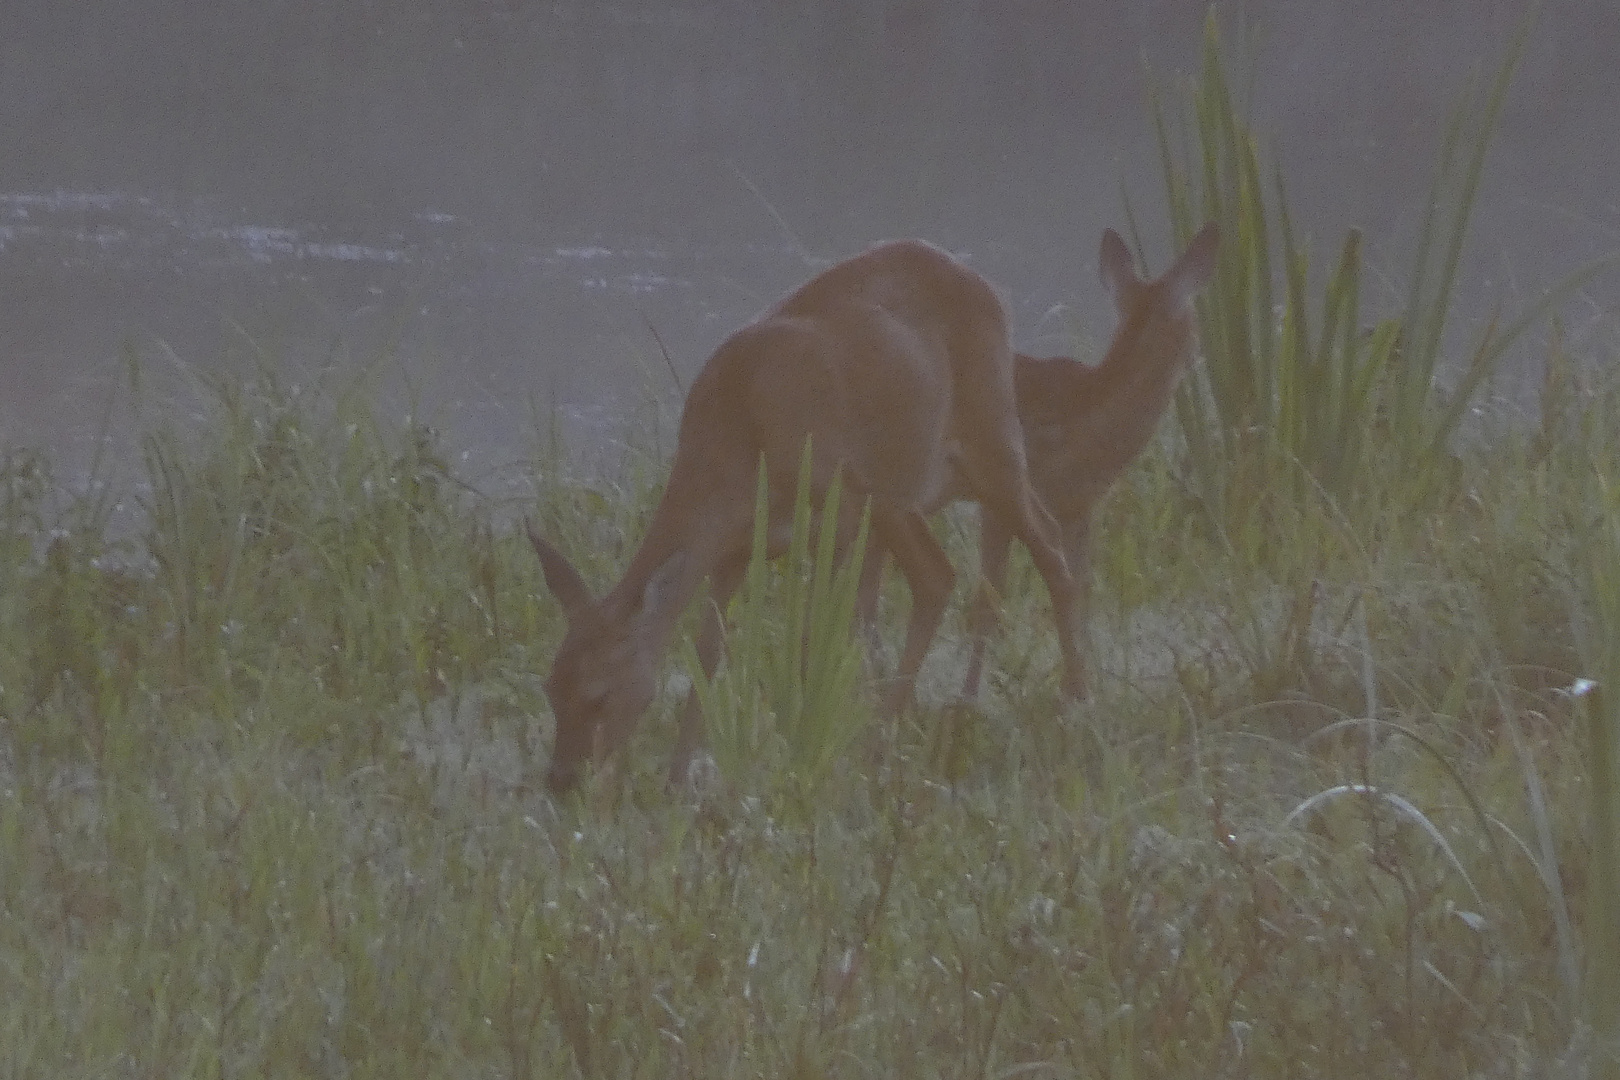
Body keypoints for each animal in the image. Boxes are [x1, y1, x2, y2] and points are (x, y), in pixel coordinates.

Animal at [531, 238, 1088, 793]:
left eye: (600, 695)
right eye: (551, 688)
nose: (561, 779)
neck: (738, 438)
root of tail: (991, 290)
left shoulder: (835, 511)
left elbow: (811, 642)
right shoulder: (734, 549)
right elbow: (709, 655)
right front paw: (678, 781)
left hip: (975, 447)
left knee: (1007, 559)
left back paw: (1059, 713)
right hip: (932, 483)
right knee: (998, 553)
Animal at [952, 225, 1218, 696]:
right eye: (1194, 322)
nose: (1197, 356)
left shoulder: (1079, 509)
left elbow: (1081, 587)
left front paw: (1084, 684)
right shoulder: (999, 498)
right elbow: (990, 600)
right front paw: (967, 699)